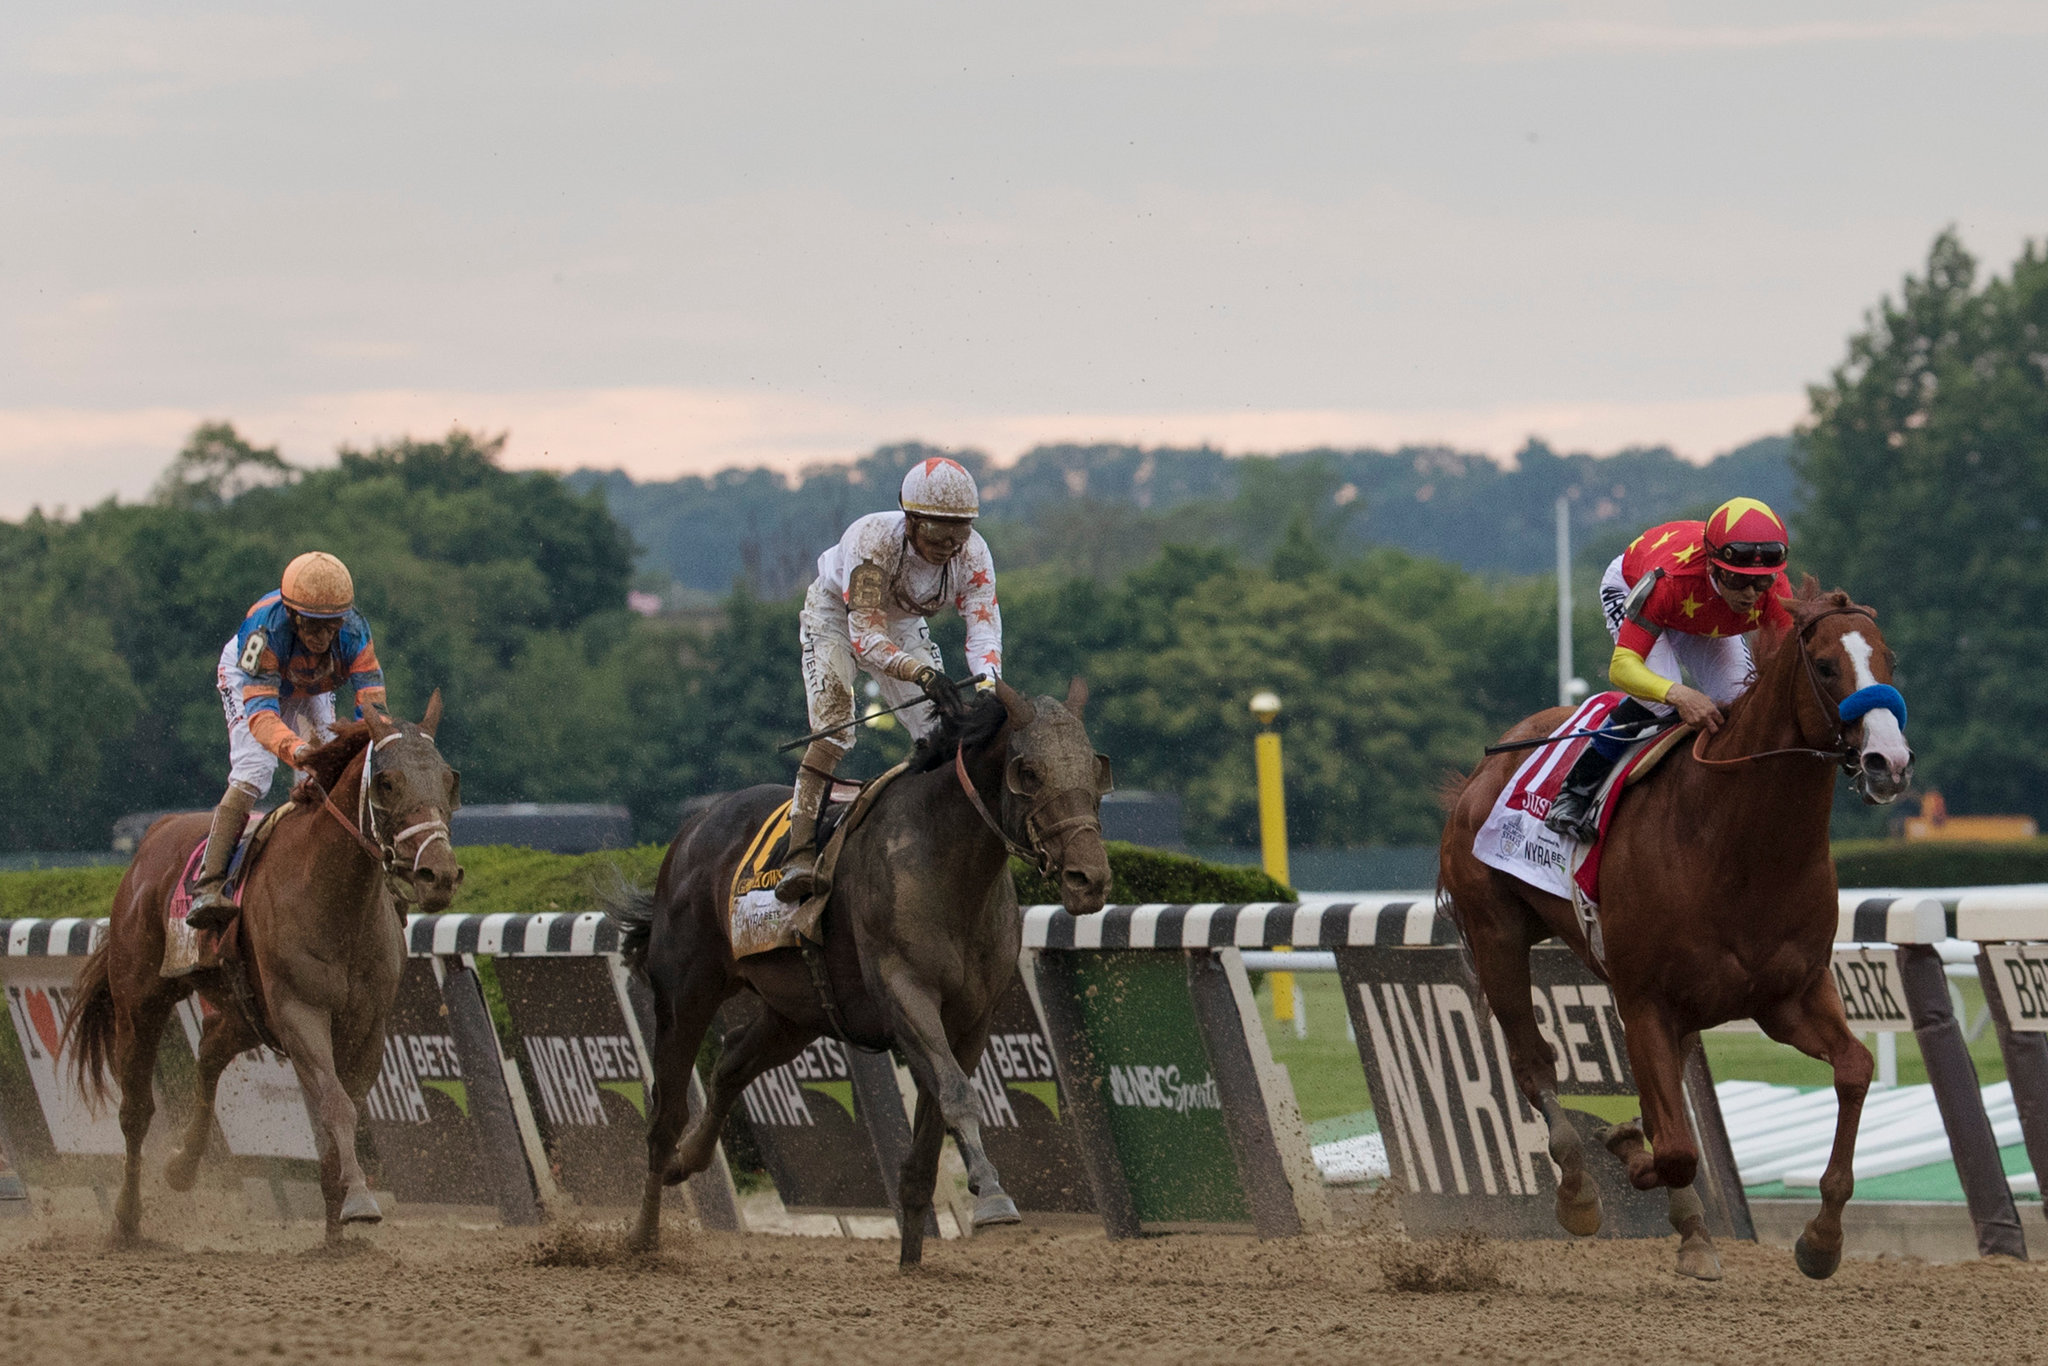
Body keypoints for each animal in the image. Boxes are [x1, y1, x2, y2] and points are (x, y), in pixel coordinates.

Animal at [67, 700, 464, 1245]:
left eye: (450, 779)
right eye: (386, 782)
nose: (438, 874)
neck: (335, 901)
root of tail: (156, 833)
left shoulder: (367, 1025)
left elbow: (343, 1109)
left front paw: (336, 1228)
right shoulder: (300, 1012)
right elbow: (336, 1104)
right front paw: (359, 1202)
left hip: (244, 1010)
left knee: (209, 1053)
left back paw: (182, 1166)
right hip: (140, 1000)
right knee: (136, 1111)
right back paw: (126, 1220)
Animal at [606, 679, 1114, 1269]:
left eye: (1094, 766)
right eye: (1027, 771)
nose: (1089, 878)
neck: (945, 862)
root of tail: (695, 826)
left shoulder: (971, 1019)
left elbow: (932, 1130)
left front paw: (912, 1259)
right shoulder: (905, 995)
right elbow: (957, 1094)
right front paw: (991, 1197)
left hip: (796, 1011)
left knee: (730, 1064)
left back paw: (687, 1160)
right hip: (686, 991)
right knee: (664, 1115)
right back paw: (644, 1235)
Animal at [1441, 585, 1900, 1286]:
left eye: (1889, 660)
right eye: (1825, 666)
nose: (1888, 761)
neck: (1737, 842)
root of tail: (1481, 770)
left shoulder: (1789, 994)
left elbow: (1853, 1069)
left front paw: (1821, 1240)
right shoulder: (1645, 998)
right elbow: (1676, 1147)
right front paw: (1626, 1147)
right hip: (1497, 935)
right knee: (1533, 1063)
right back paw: (1579, 1192)